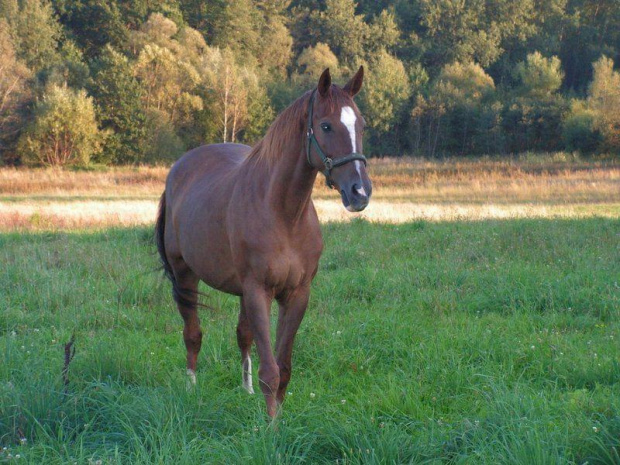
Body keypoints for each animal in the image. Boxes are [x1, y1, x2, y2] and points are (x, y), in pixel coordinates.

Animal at [155, 66, 372, 416]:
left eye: (361, 125)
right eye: (326, 125)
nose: (360, 192)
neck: (283, 214)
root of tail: (179, 169)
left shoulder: (296, 294)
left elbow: (283, 368)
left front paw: (279, 418)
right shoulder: (259, 291)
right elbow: (270, 371)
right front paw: (270, 426)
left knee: (242, 336)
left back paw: (245, 390)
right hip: (185, 276)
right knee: (193, 334)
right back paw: (191, 388)